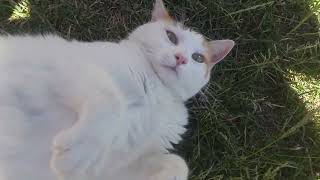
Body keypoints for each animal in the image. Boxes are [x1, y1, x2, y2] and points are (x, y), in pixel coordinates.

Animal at [0, 0, 234, 180]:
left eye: (198, 58)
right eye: (171, 36)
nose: (181, 58)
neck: (158, 92)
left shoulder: (112, 169)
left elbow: (178, 163)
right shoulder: (62, 63)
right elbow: (111, 99)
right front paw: (79, 153)